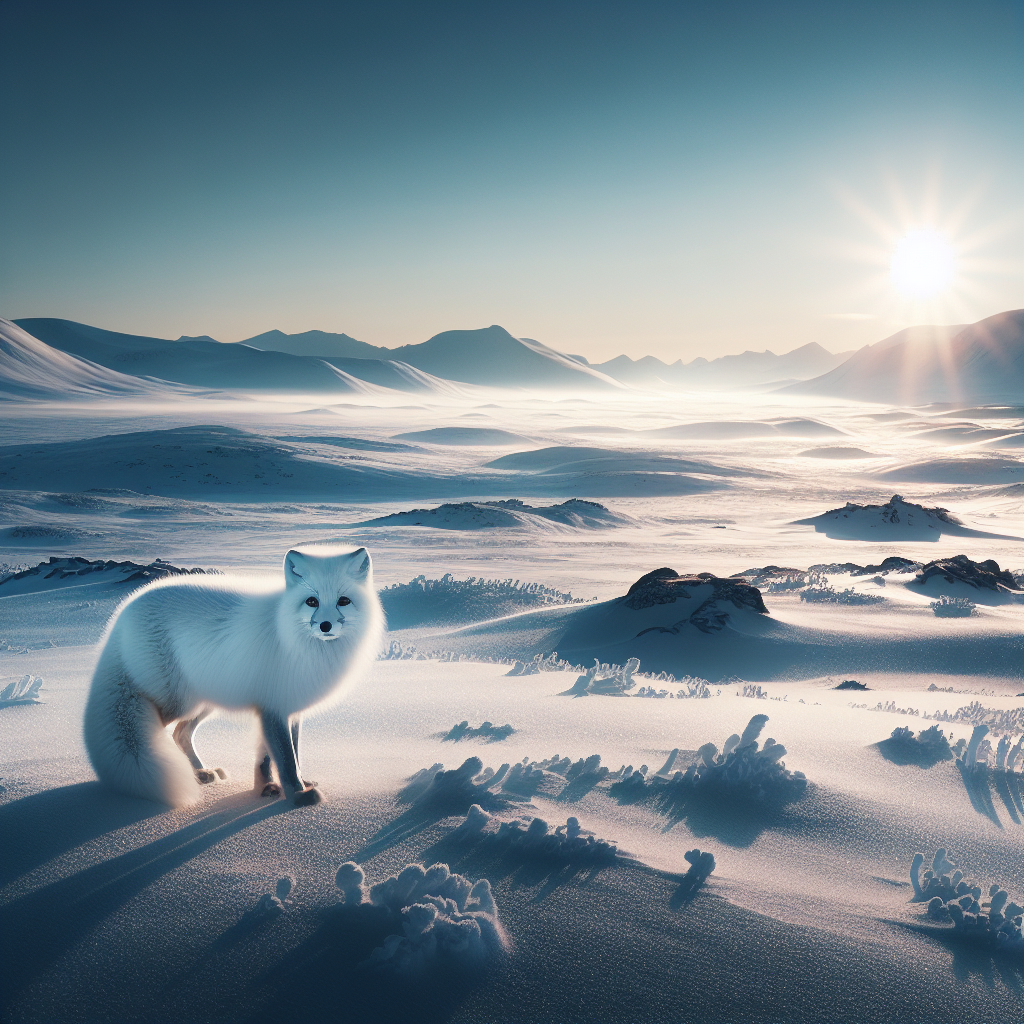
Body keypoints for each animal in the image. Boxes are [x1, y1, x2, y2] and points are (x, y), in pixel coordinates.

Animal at [84, 545, 384, 807]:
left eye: (343, 601)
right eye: (312, 601)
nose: (325, 625)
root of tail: (122, 613)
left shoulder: (288, 708)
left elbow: (279, 755)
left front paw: (268, 788)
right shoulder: (273, 708)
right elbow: (286, 759)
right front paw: (297, 795)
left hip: (206, 700)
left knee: (181, 734)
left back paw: (200, 774)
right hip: (178, 701)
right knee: (163, 732)